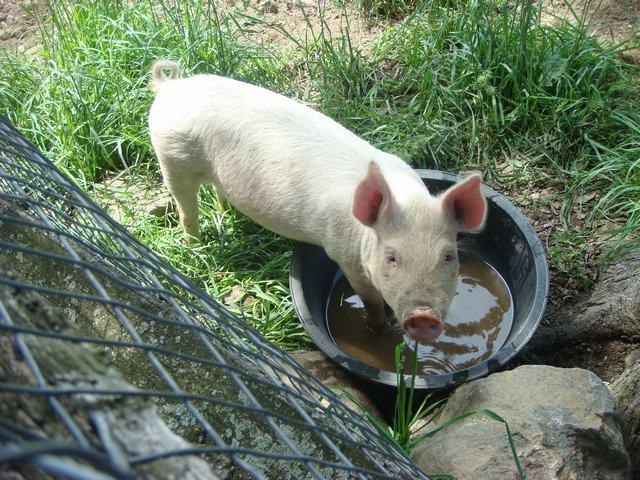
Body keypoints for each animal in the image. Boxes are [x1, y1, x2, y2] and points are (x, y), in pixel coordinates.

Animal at [148, 60, 488, 344]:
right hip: (172, 158)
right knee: (186, 208)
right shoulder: (344, 254)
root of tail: (171, 86)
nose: (424, 316)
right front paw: (381, 331)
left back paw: (225, 210)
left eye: (449, 257)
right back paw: (194, 246)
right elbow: (371, 300)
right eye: (391, 257)